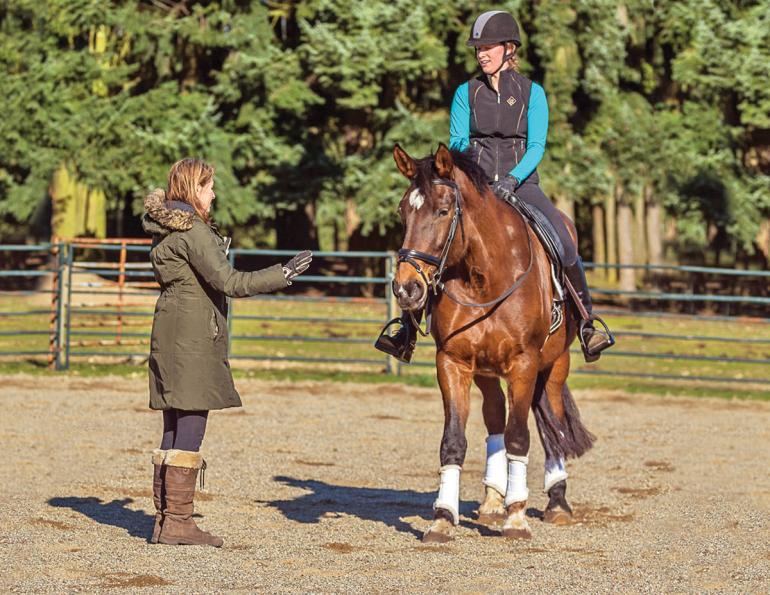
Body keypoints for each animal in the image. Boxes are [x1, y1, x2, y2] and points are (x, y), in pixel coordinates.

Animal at [391, 143, 595, 543]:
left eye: (443, 211)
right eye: (403, 212)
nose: (407, 288)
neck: (483, 276)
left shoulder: (525, 363)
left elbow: (520, 437)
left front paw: (516, 518)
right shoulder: (452, 362)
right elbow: (454, 441)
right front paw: (443, 517)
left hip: (555, 364)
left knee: (552, 423)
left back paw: (556, 501)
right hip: (486, 371)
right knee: (496, 416)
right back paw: (493, 498)